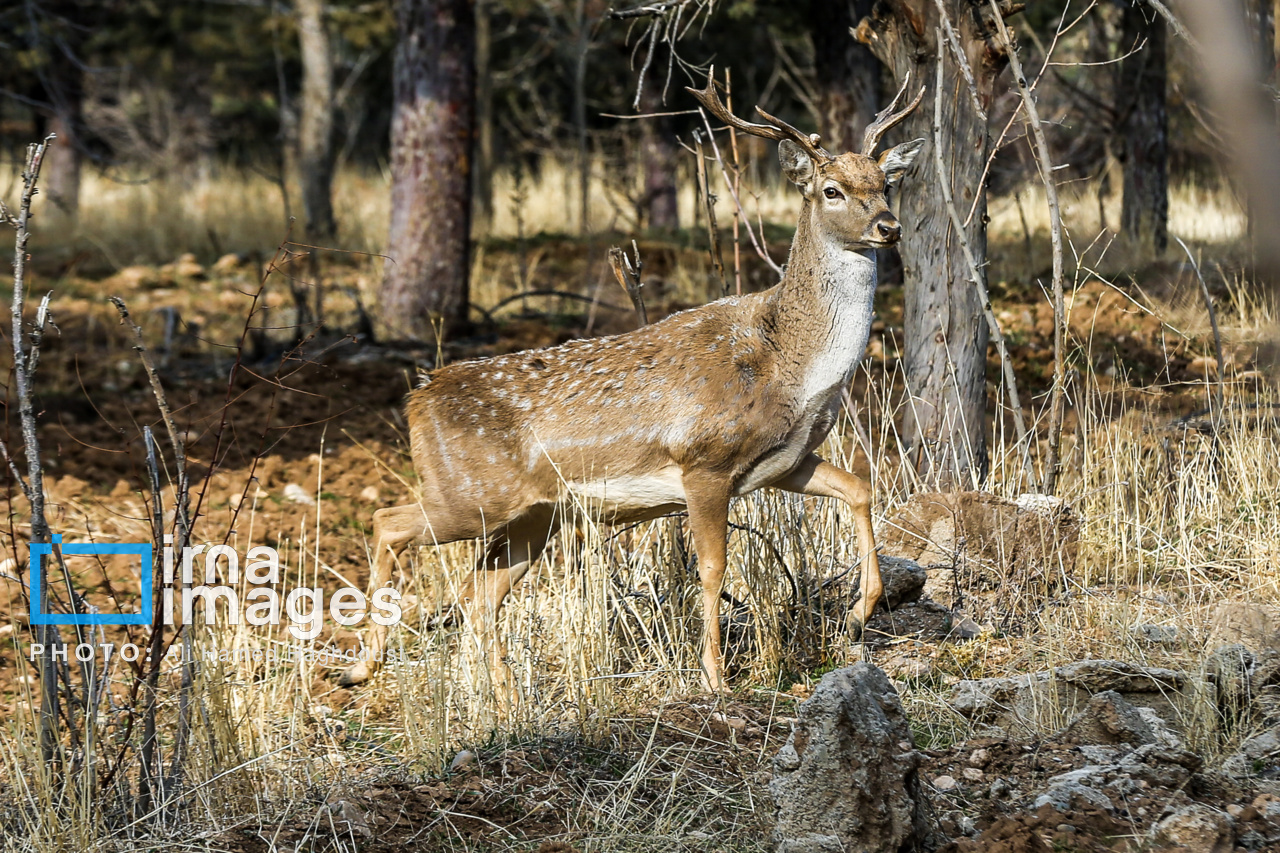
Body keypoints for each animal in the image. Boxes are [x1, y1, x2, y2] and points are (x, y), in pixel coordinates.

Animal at [337, 73, 921, 691]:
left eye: (884, 182)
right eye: (831, 190)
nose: (888, 227)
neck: (789, 364)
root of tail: (416, 397)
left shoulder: (783, 462)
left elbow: (859, 487)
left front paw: (859, 612)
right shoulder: (704, 462)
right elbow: (713, 568)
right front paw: (715, 677)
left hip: (532, 517)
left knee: (479, 596)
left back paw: (503, 697)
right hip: (469, 494)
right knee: (389, 524)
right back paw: (360, 666)